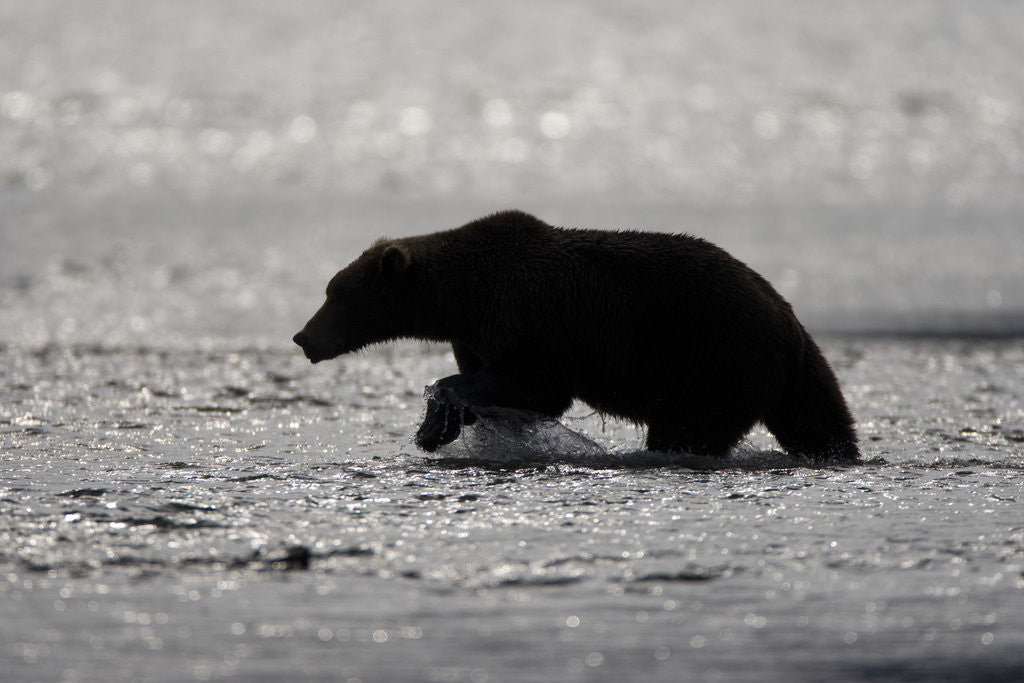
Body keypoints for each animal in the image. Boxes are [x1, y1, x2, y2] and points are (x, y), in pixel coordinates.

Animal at [293, 210, 859, 462]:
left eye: (337, 293)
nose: (303, 337)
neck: (460, 298)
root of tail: (787, 320)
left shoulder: (526, 314)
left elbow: (538, 382)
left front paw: (437, 416)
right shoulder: (476, 332)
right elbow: (505, 382)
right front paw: (443, 426)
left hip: (712, 355)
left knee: (692, 426)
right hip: (789, 371)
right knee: (817, 420)